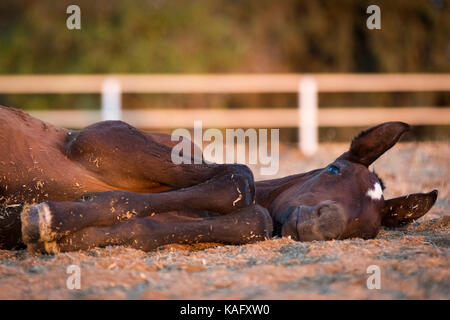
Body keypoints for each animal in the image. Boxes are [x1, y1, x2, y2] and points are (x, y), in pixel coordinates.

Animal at [0, 106, 438, 254]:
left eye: (367, 230)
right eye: (334, 169)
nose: (324, 223)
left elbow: (252, 219)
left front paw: (60, 231)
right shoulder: (95, 140)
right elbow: (240, 180)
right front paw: (49, 217)